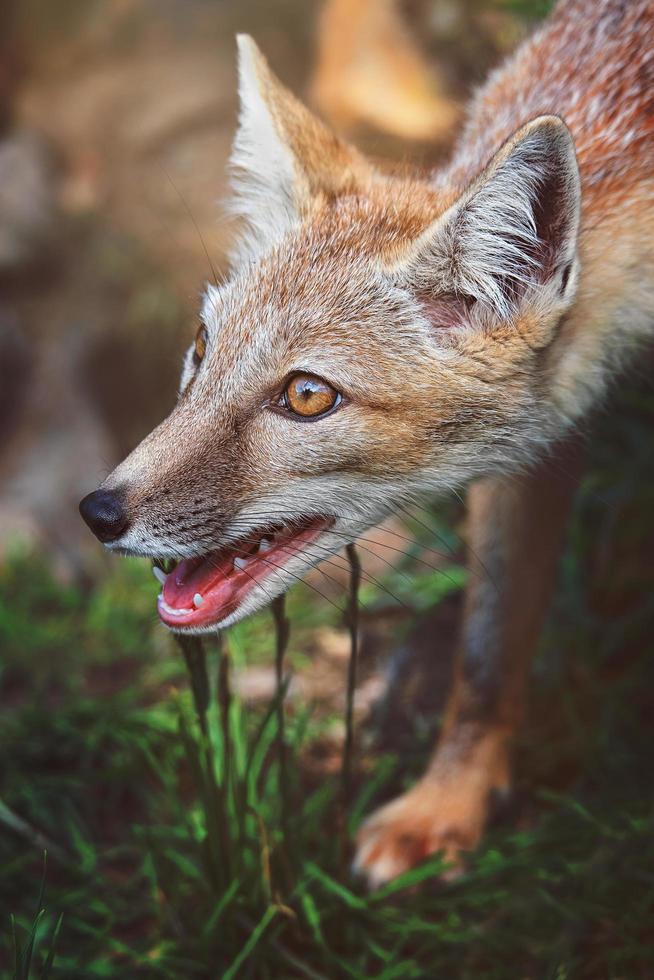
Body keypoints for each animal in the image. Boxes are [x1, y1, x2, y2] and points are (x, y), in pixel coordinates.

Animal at [80, 0, 654, 888]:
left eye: (307, 396)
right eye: (203, 350)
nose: (100, 512)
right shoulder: (539, 442)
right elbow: (488, 648)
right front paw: (448, 806)